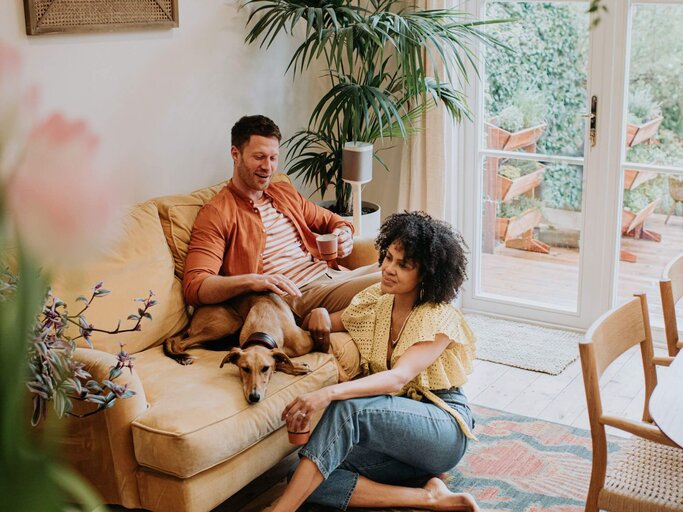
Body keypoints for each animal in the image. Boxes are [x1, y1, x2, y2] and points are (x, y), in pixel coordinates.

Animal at [163, 292, 328, 404]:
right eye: (245, 369)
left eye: (265, 368)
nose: (254, 397)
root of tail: (191, 319)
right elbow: (282, 361)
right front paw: (297, 366)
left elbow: (280, 360)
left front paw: (294, 365)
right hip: (228, 323)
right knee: (180, 343)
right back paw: (182, 357)